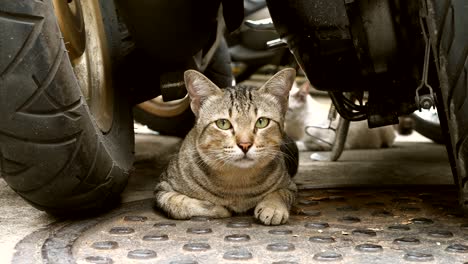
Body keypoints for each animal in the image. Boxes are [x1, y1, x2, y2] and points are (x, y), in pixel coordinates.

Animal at [155, 67, 298, 225]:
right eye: (223, 123)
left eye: (262, 122)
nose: (245, 144)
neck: (238, 180)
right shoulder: (163, 188)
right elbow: (177, 203)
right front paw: (217, 208)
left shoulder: (289, 185)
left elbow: (280, 193)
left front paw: (273, 208)